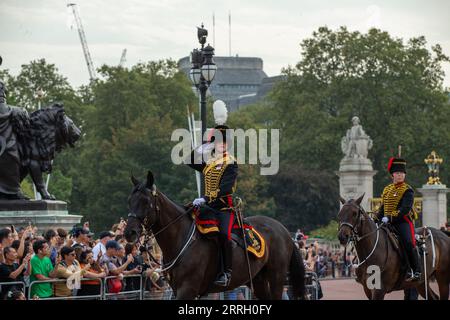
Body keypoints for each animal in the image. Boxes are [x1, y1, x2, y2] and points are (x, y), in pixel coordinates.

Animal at [123, 172, 306, 300]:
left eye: (146, 201)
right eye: (129, 200)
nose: (129, 232)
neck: (181, 239)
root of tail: (283, 230)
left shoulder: (187, 288)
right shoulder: (177, 289)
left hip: (276, 277)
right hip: (258, 280)